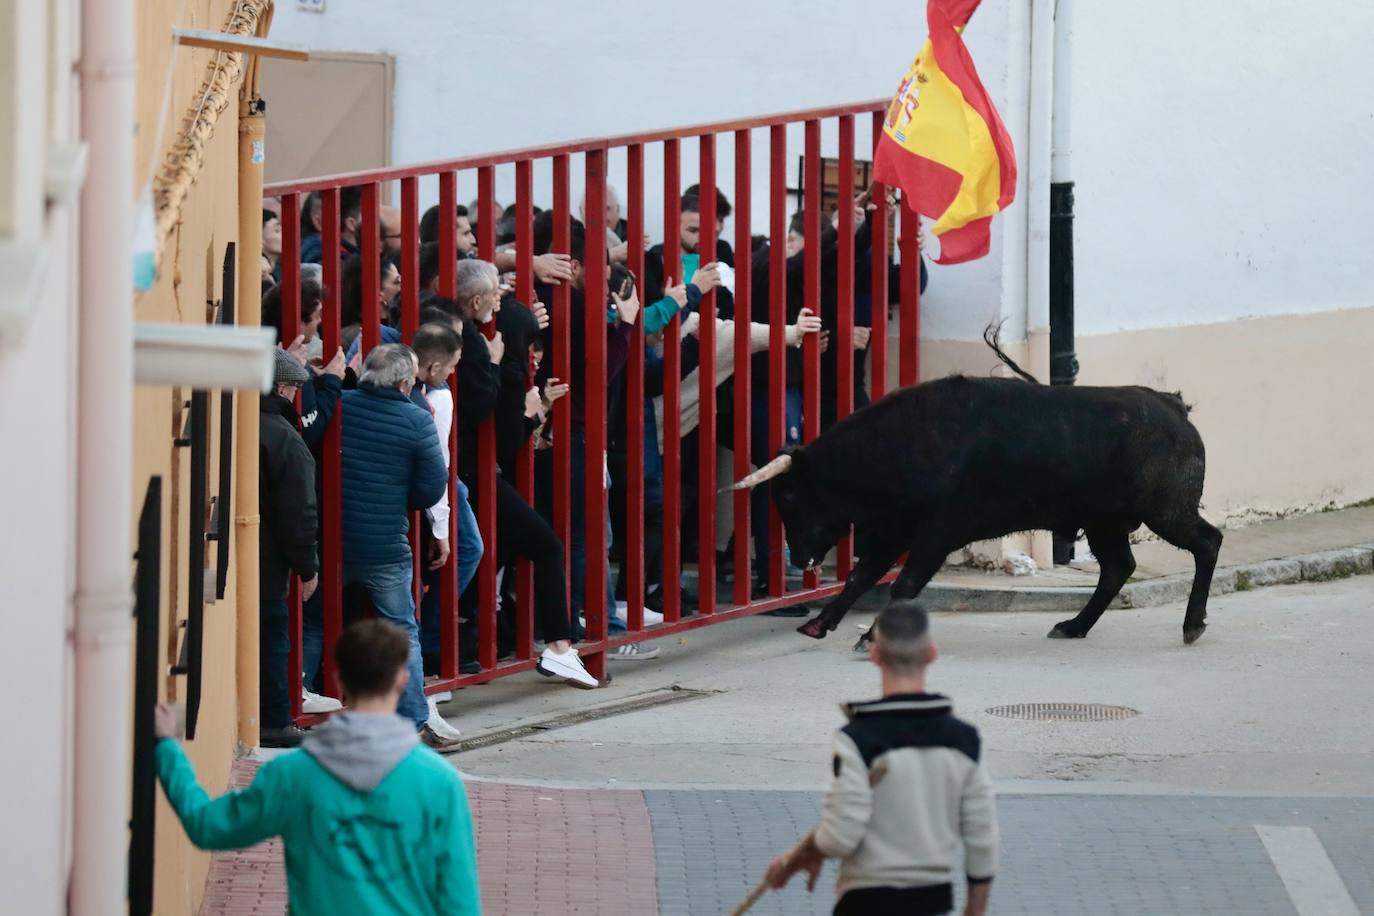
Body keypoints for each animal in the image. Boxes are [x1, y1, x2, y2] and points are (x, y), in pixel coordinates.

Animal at [730, 370, 1225, 645]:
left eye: (789, 496)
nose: (799, 558)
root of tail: (1173, 406)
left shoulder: (936, 532)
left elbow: (902, 584)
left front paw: (870, 636)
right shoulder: (893, 530)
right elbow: (860, 577)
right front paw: (820, 624)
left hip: (1166, 511)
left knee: (1207, 542)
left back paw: (1192, 624)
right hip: (1104, 522)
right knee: (1119, 567)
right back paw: (1073, 626)